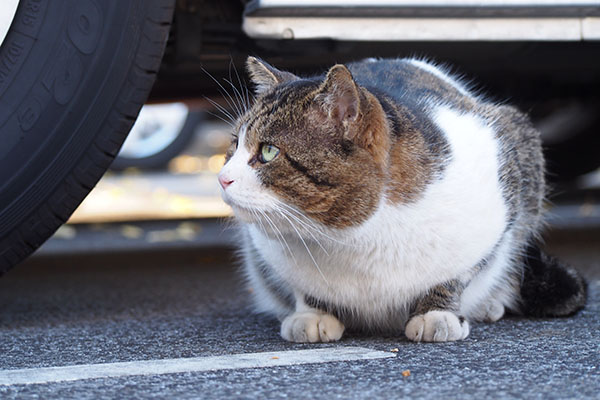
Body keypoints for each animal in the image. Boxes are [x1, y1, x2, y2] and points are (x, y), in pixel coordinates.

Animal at [217, 55, 584, 344]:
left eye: (268, 151)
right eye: (234, 144)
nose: (222, 177)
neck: (349, 239)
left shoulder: (500, 179)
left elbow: (461, 273)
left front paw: (437, 313)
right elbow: (302, 287)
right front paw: (313, 313)